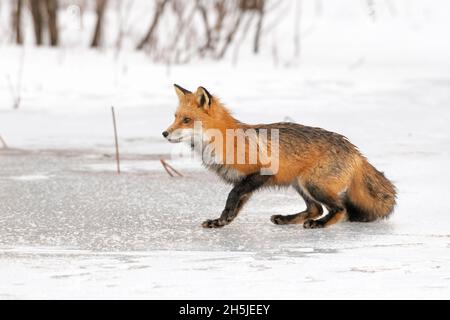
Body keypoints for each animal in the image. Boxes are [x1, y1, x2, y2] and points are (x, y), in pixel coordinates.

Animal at [163, 85, 396, 229]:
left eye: (186, 120)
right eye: (175, 117)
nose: (164, 133)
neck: (224, 140)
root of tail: (355, 150)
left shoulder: (258, 173)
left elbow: (231, 197)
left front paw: (224, 218)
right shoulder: (245, 181)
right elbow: (235, 206)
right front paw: (221, 221)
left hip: (312, 184)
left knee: (340, 209)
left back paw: (320, 224)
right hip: (299, 184)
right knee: (315, 208)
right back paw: (286, 219)